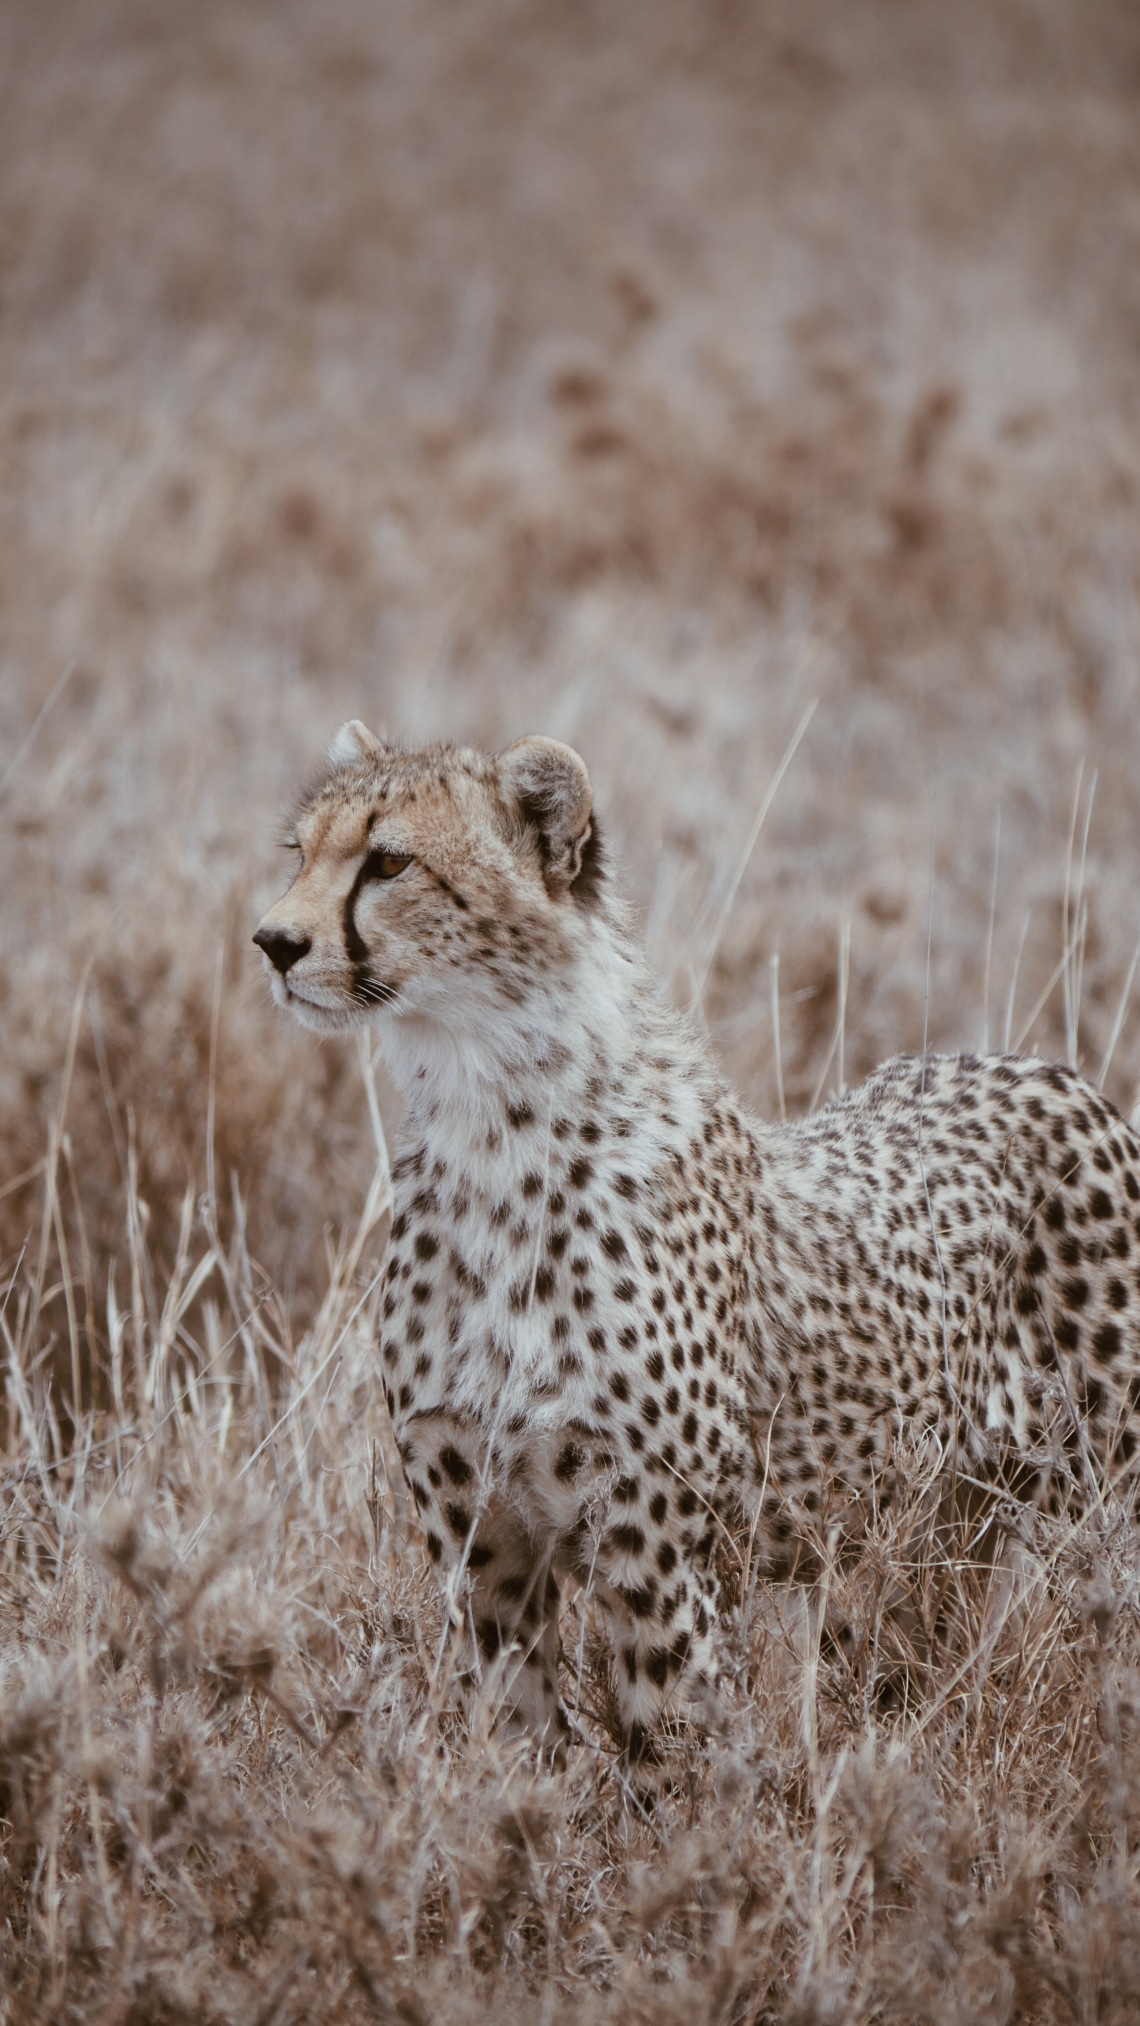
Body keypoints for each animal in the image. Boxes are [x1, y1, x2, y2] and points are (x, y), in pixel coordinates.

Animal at [254, 725, 1140, 1758]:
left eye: (389, 862)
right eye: (300, 853)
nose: (273, 942)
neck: (490, 1121)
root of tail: (1041, 1067)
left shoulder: (659, 1554)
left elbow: (674, 1748)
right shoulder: (486, 1550)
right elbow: (512, 1744)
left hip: (1098, 1504)